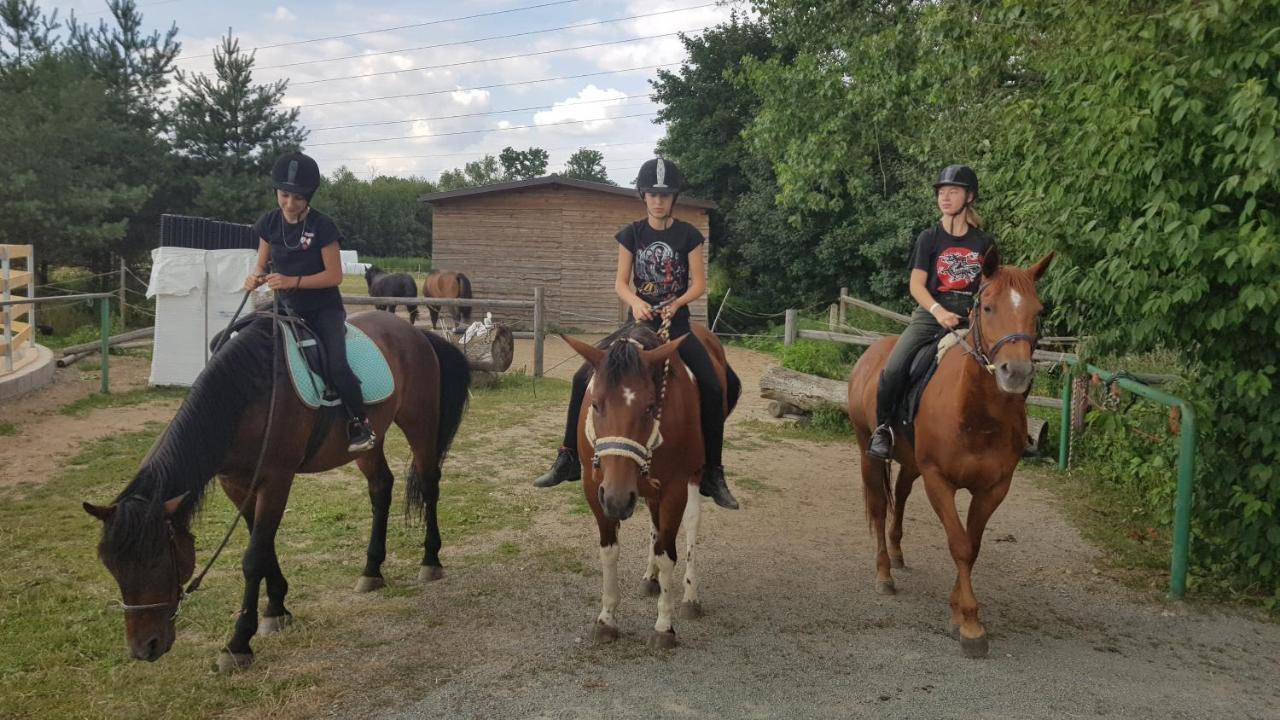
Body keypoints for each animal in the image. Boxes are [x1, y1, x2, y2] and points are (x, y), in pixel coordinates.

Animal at [82, 311, 471, 671]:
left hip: (420, 421)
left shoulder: (275, 479)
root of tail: (414, 332)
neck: (247, 394)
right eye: (111, 566)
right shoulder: (236, 483)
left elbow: (253, 557)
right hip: (369, 442)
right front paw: (276, 608)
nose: (143, 648)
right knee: (381, 487)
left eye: (158, 560)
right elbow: (262, 543)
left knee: (429, 482)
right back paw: (371, 570)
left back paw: (430, 560)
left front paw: (238, 643)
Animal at [563, 322, 742, 648]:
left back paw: (690, 596)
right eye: (595, 404)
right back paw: (651, 578)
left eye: (649, 408)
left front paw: (664, 626)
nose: (618, 500)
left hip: (692, 479)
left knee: (690, 526)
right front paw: (607, 618)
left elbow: (668, 554)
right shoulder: (595, 490)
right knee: (654, 524)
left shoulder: (674, 489)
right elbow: (610, 550)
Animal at [849, 248, 1049, 655]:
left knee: (901, 495)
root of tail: (870, 354)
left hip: (910, 462)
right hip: (867, 452)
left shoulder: (993, 488)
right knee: (878, 507)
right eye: (987, 307)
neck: (976, 416)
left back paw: (897, 553)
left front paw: (960, 611)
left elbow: (972, 546)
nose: (1016, 373)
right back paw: (884, 573)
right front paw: (970, 623)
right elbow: (958, 543)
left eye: (1038, 311)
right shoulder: (938, 480)